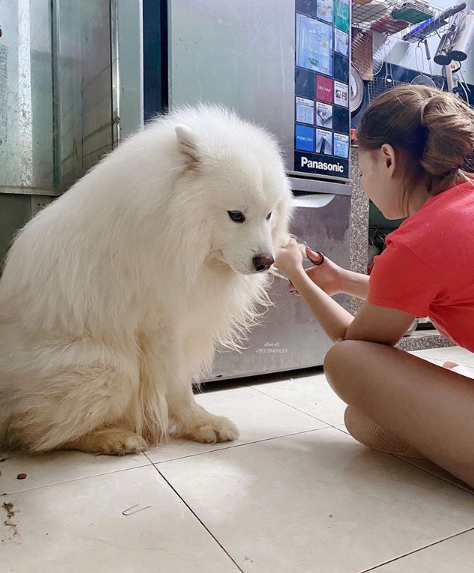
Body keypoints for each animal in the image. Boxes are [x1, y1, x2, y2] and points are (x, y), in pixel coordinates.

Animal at [0, 106, 292, 456]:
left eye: (269, 215)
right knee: (40, 433)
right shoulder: (160, 327)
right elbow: (177, 385)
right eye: (236, 215)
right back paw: (115, 438)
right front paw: (201, 423)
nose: (266, 262)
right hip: (111, 367)